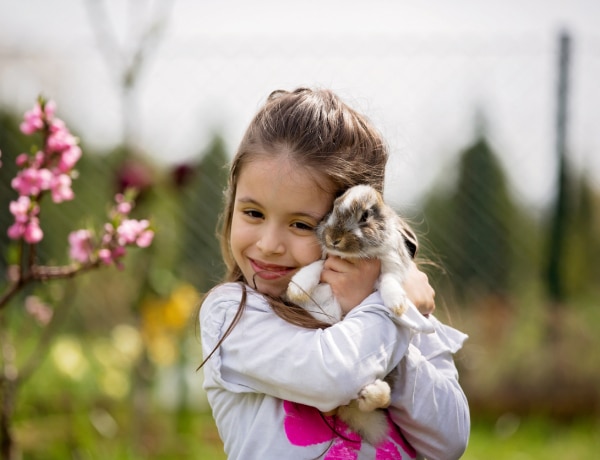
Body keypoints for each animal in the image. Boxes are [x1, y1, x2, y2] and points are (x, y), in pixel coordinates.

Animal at [288, 183, 424, 446]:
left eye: (365, 217)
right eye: (333, 207)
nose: (334, 238)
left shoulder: (391, 262)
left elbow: (389, 282)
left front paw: (397, 305)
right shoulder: (324, 258)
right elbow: (314, 268)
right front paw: (295, 289)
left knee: (380, 400)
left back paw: (371, 394)